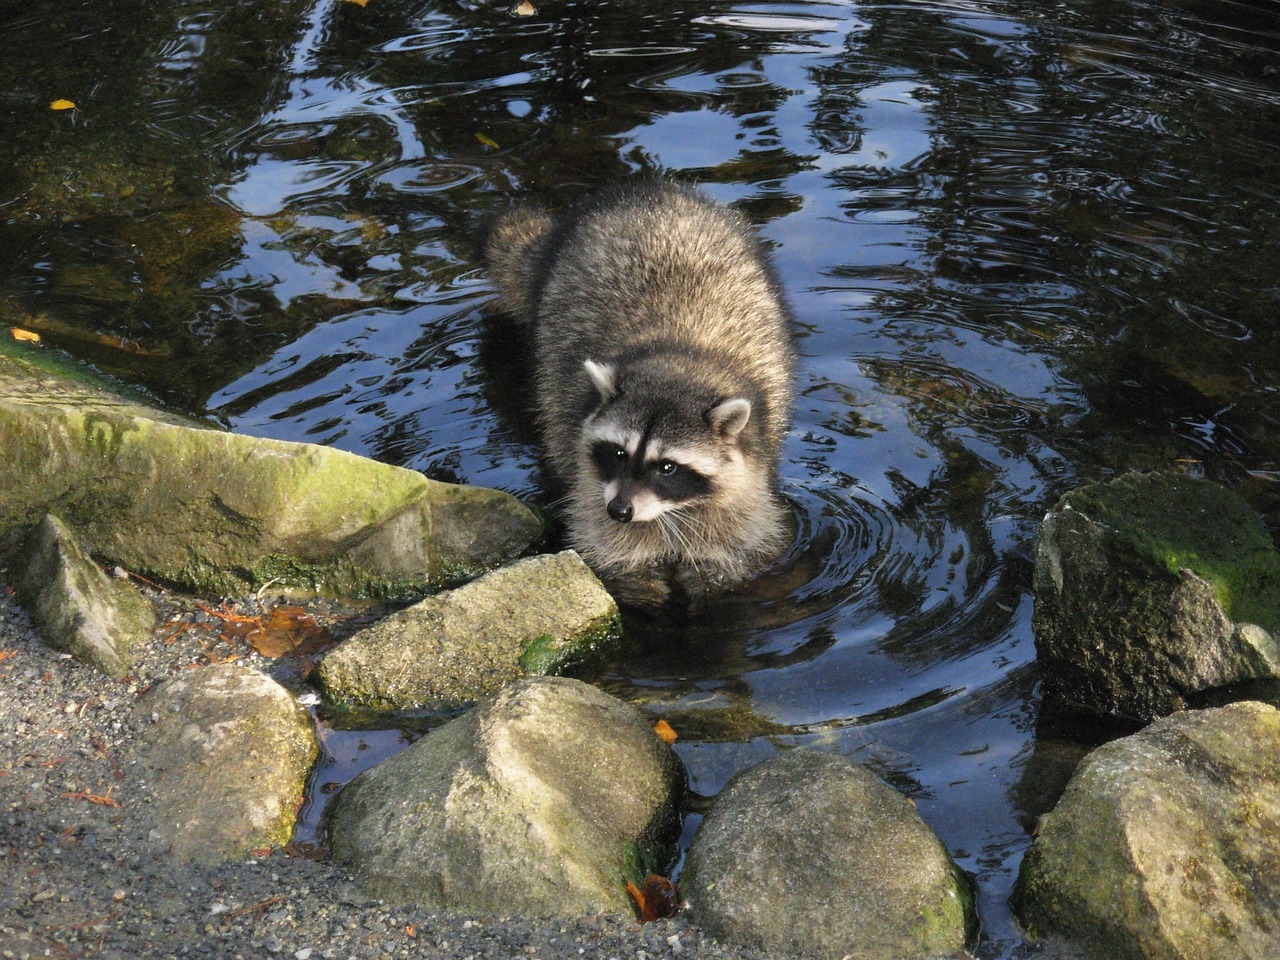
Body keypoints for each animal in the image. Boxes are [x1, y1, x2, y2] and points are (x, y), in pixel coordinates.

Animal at [483, 181, 793, 593]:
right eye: (618, 453)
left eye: (667, 467)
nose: (619, 510)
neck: (678, 358)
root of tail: (652, 192)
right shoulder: (587, 466)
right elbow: (607, 540)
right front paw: (638, 581)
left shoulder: (749, 467)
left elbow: (734, 539)